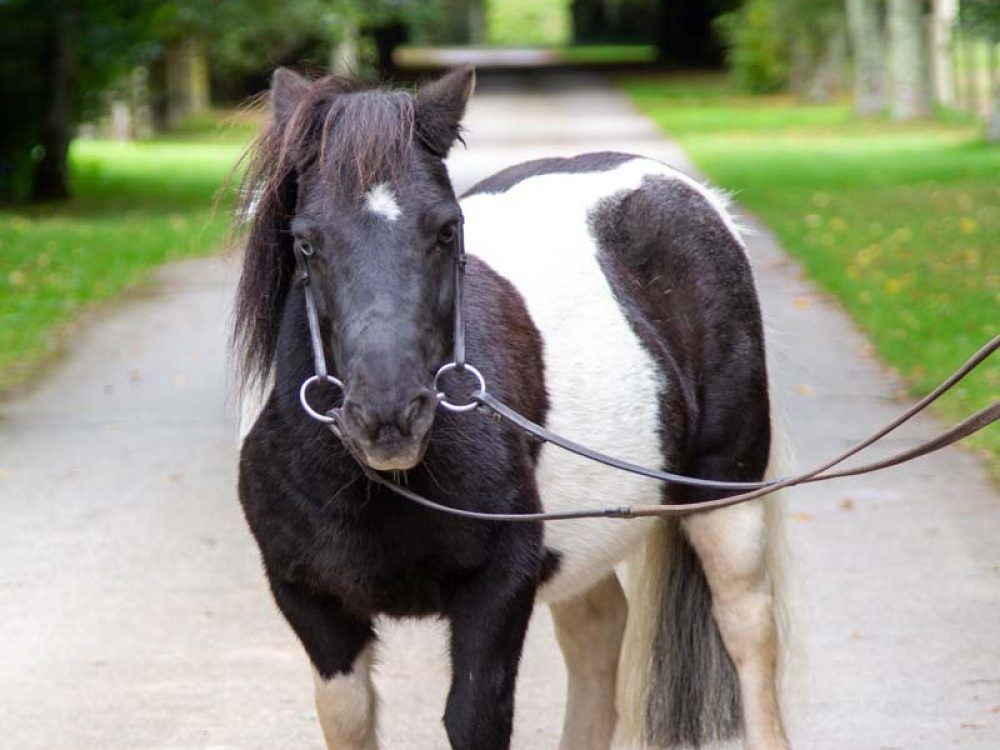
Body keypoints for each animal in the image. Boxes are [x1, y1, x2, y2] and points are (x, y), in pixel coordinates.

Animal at [234, 65, 792, 750]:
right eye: (305, 243)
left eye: (447, 229)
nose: (389, 416)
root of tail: (687, 192)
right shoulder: (312, 604)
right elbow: (348, 719)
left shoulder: (498, 589)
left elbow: (474, 716)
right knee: (598, 631)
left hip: (724, 497)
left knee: (748, 631)